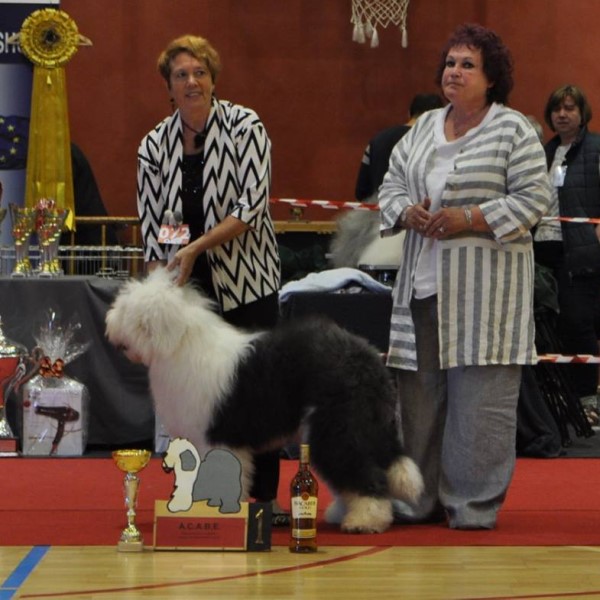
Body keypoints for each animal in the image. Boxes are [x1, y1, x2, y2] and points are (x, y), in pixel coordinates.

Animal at [105, 267, 423, 533]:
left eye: (126, 309)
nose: (110, 322)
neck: (179, 345)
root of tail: (368, 357)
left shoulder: (216, 435)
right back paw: (342, 513)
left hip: (337, 426)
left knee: (365, 473)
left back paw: (365, 520)